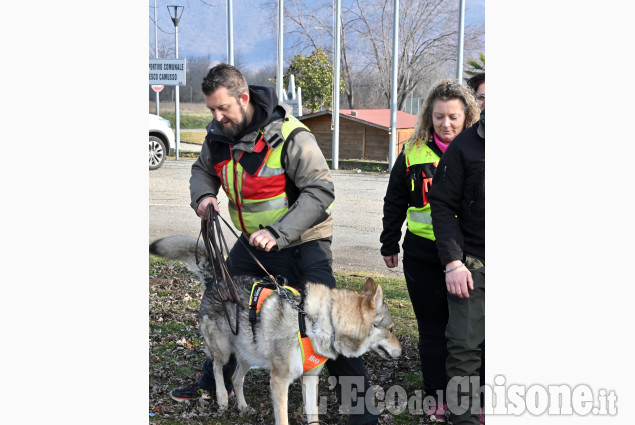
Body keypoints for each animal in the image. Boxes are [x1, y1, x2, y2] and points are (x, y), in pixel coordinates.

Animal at [150, 234, 402, 424]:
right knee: (217, 368)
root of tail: (217, 280)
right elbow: (283, 419)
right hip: (224, 350)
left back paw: (243, 407)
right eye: (391, 329)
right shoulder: (280, 381)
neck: (314, 322)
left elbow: (313, 417)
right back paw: (222, 399)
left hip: (248, 356)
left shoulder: (310, 379)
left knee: (236, 378)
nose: (402, 352)